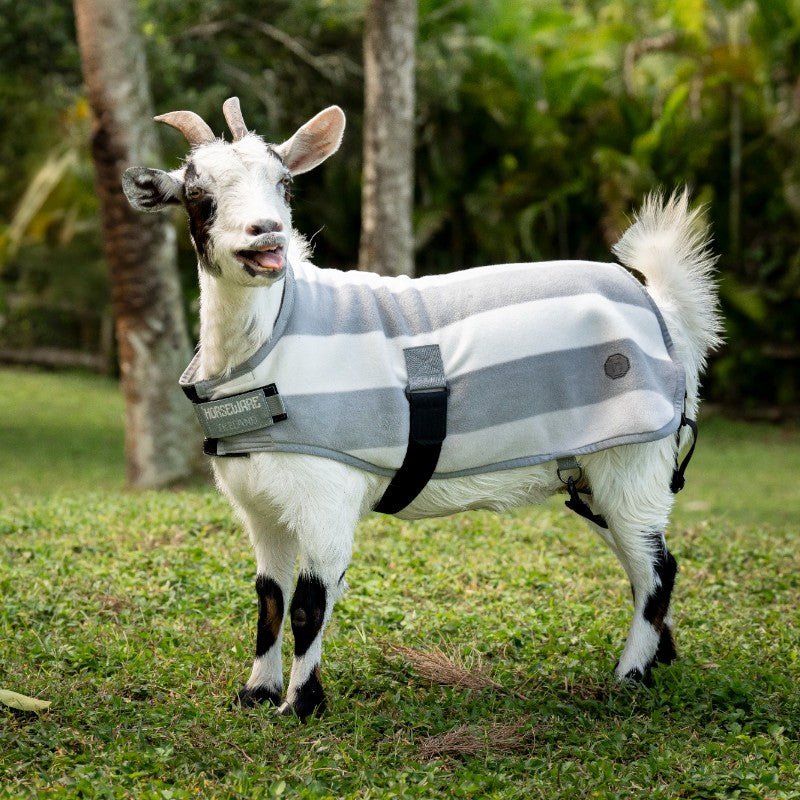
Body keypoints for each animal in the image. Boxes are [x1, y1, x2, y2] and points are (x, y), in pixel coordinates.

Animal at [122, 97, 722, 720]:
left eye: (284, 183)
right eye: (197, 194)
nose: (267, 234)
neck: (270, 342)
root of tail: (666, 311)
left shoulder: (328, 495)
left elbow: (311, 601)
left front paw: (301, 705)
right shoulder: (260, 506)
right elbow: (270, 598)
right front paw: (256, 693)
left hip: (634, 458)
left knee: (657, 570)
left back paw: (629, 677)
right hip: (592, 473)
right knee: (645, 563)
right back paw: (658, 661)